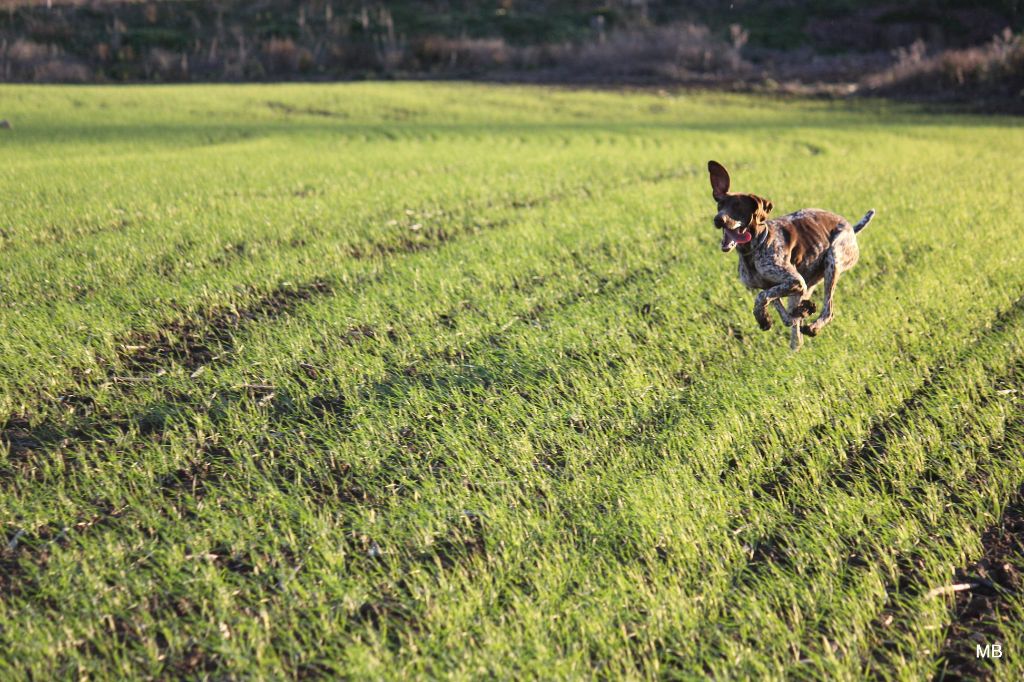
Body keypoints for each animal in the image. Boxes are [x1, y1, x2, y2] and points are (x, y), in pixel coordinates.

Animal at [708, 161, 876, 348]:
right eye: (720, 206)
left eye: (738, 206)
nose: (718, 219)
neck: (754, 248)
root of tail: (851, 228)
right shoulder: (777, 286)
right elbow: (780, 310)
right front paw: (770, 317)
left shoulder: (794, 281)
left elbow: (761, 298)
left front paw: (763, 318)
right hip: (809, 284)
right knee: (797, 332)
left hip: (833, 261)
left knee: (828, 311)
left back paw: (813, 327)